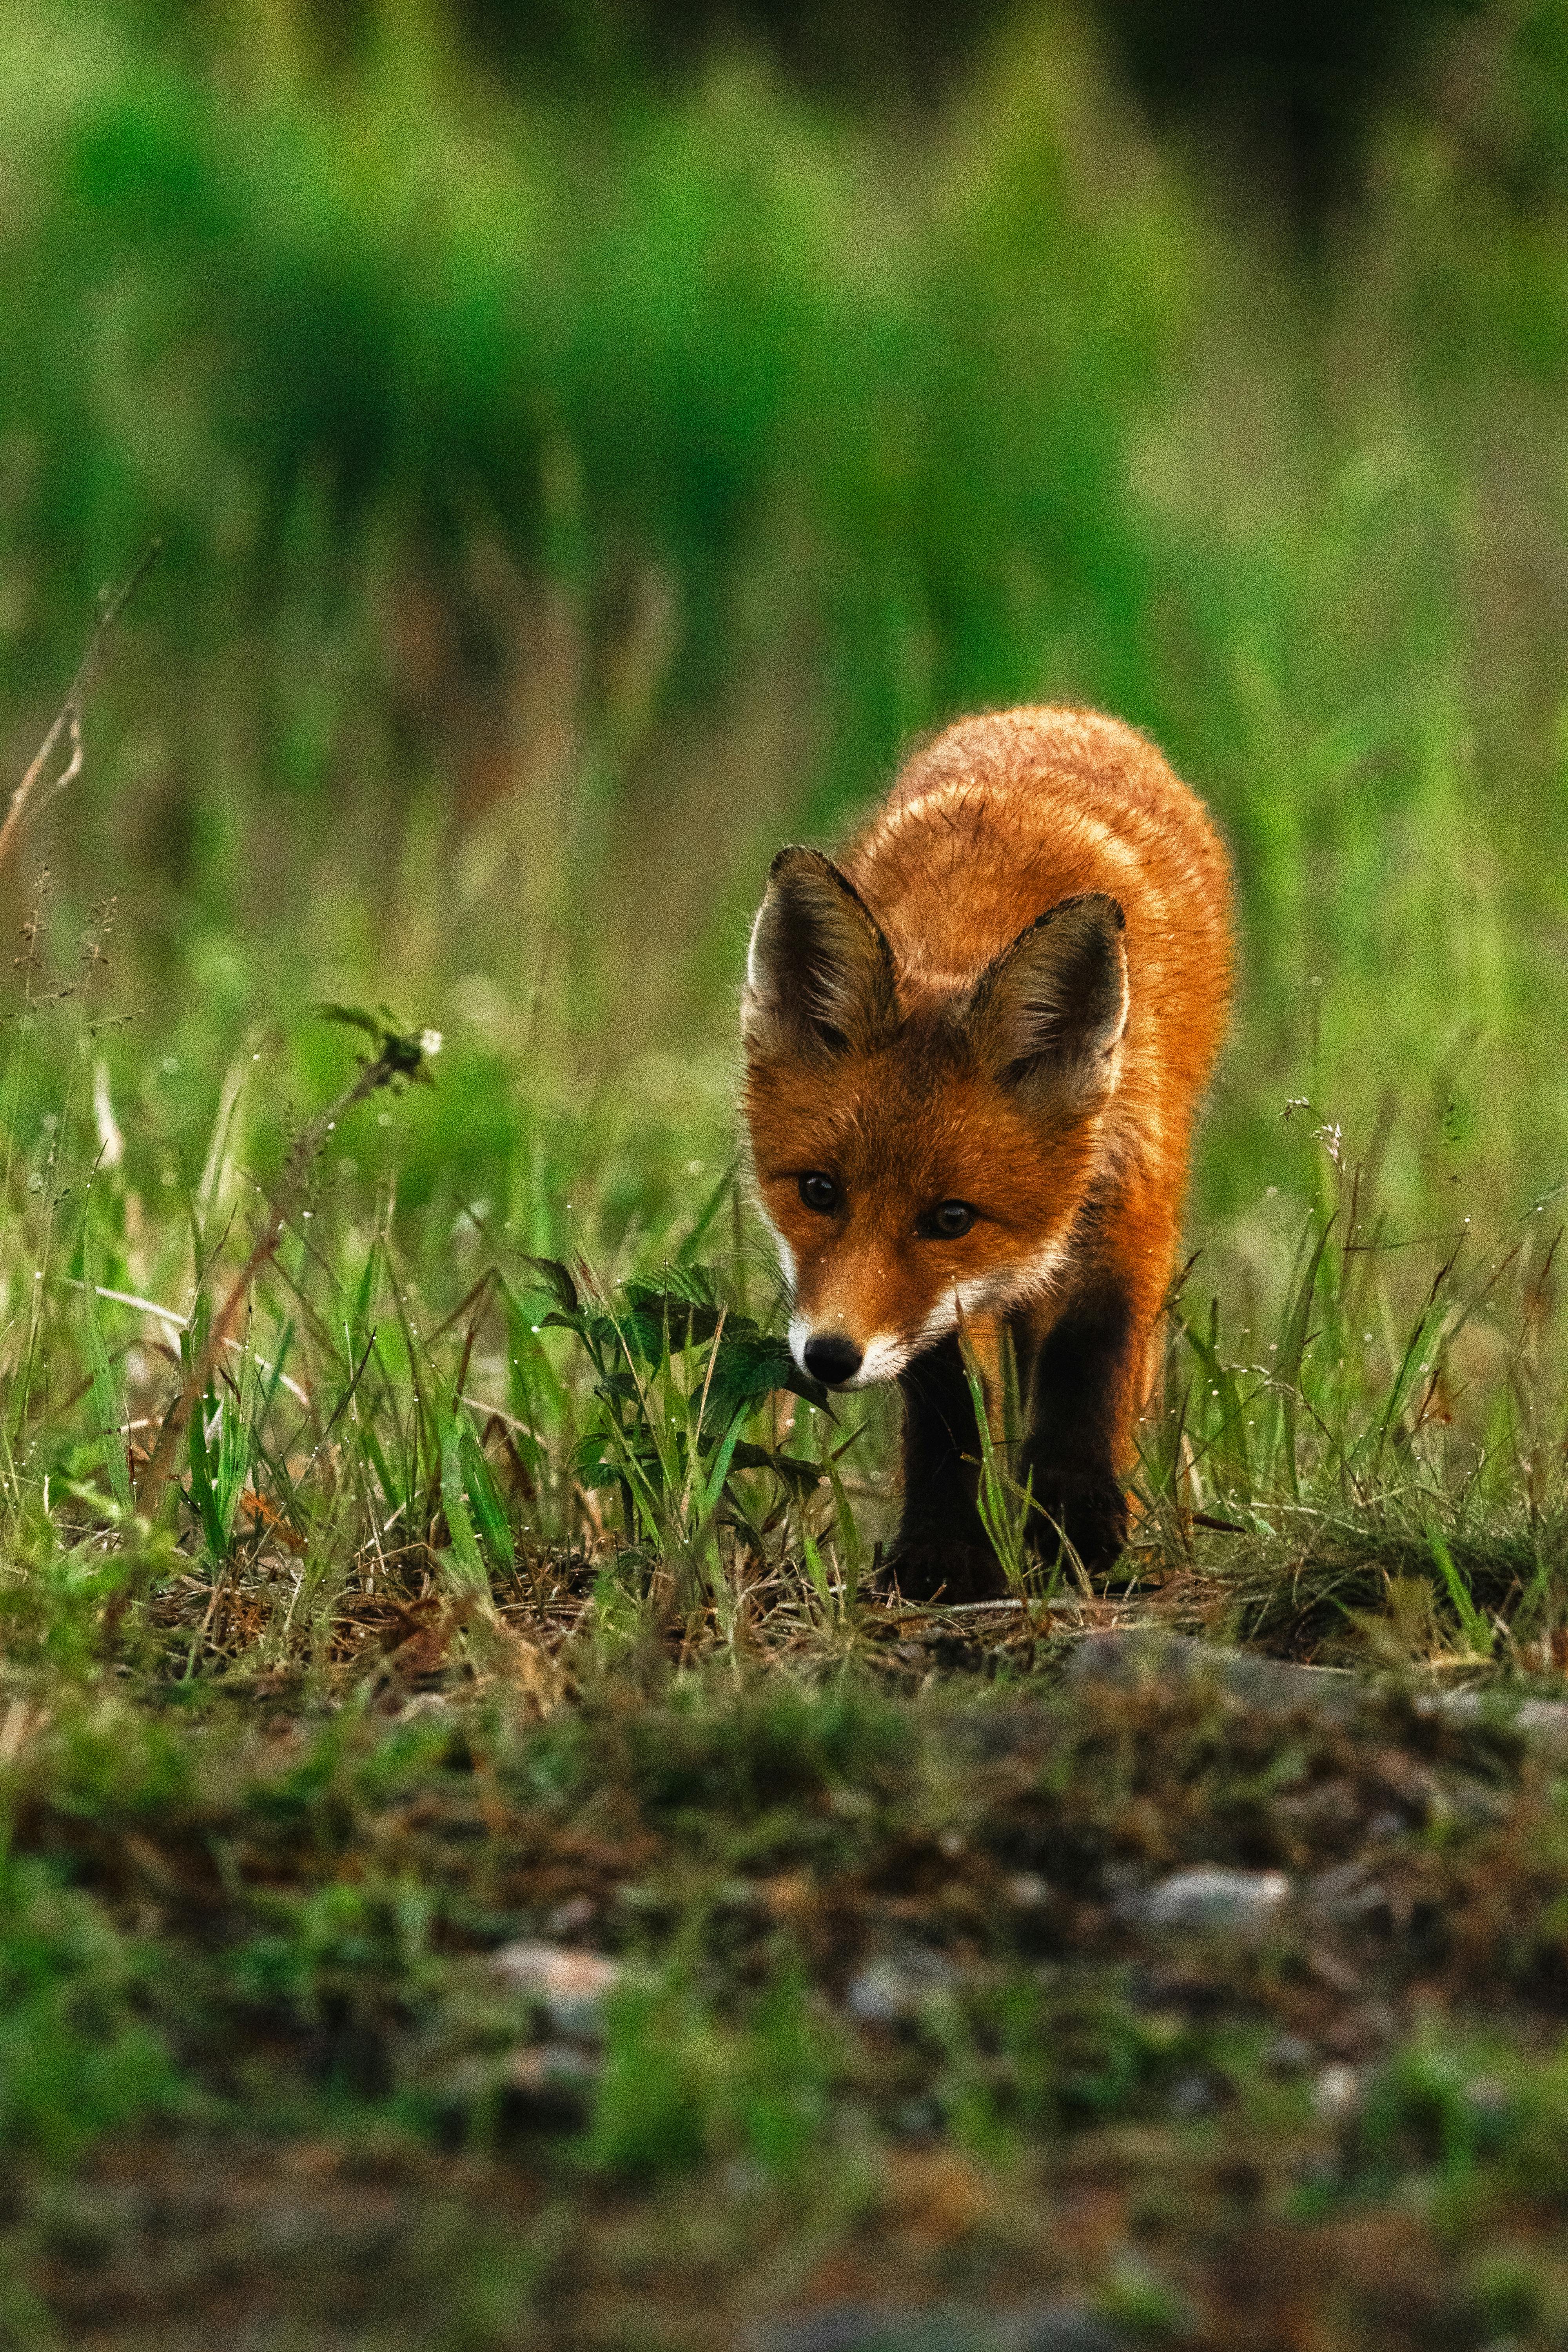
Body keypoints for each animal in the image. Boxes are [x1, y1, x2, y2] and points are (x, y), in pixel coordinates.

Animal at [741, 705, 1233, 1600]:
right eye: (819, 1191)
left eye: (952, 1218)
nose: (829, 1357)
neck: (973, 928)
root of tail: (1055, 710)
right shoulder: (938, 1312)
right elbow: (950, 1407)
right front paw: (945, 1552)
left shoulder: (1128, 1195)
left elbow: (1091, 1360)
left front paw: (1078, 1525)